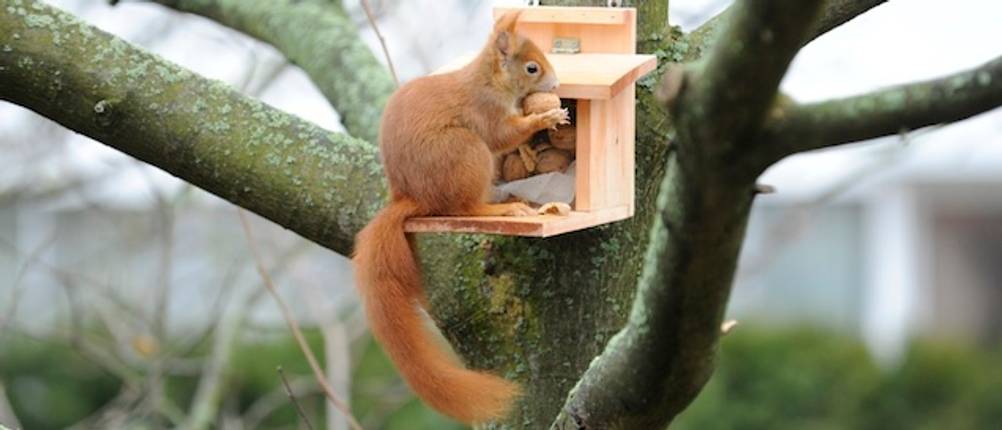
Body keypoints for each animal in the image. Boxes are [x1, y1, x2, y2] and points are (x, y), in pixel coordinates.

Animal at [352, 11, 568, 424]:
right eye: (532, 68)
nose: (557, 85)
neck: (489, 79)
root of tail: (413, 197)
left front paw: (530, 149)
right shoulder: (486, 112)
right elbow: (503, 135)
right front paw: (544, 117)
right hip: (467, 153)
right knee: (467, 208)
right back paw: (503, 208)